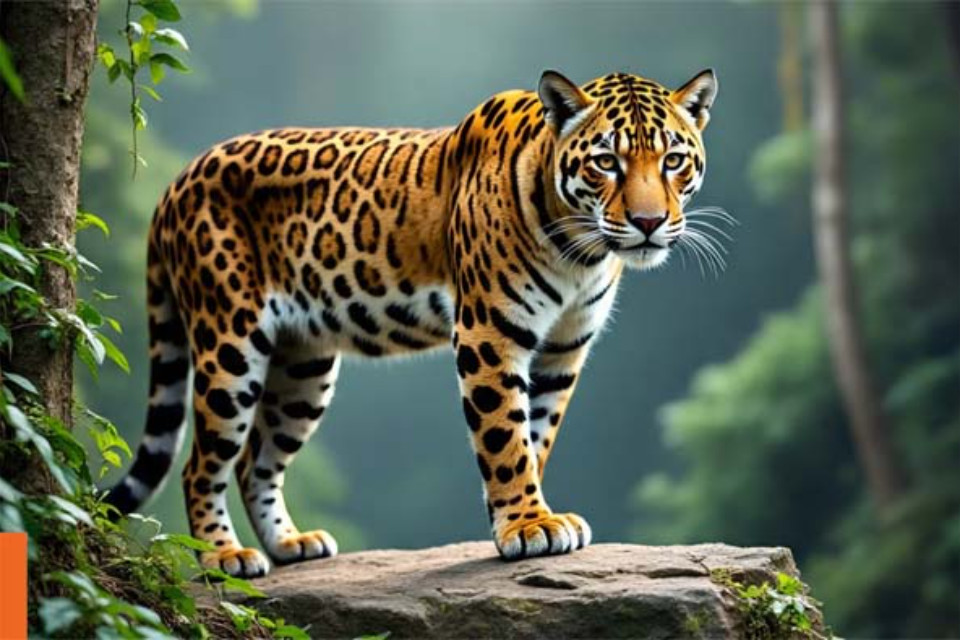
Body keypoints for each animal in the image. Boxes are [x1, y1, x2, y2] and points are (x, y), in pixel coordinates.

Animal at [105, 69, 719, 578]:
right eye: (605, 162)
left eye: (672, 161)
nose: (648, 222)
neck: (580, 251)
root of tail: (177, 180)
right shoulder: (488, 334)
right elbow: (505, 435)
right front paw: (527, 525)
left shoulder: (562, 350)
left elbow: (536, 434)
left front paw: (525, 516)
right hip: (229, 343)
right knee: (200, 465)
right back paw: (223, 556)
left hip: (303, 366)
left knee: (256, 459)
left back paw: (290, 544)